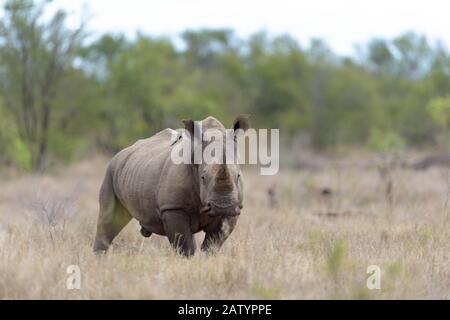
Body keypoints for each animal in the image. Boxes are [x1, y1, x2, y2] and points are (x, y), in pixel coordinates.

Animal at [93, 116, 250, 256]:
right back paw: (99, 260)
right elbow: (185, 246)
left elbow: (212, 245)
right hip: (111, 170)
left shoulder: (233, 209)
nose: (223, 206)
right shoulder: (172, 208)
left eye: (238, 176)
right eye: (203, 178)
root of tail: (122, 151)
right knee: (108, 220)